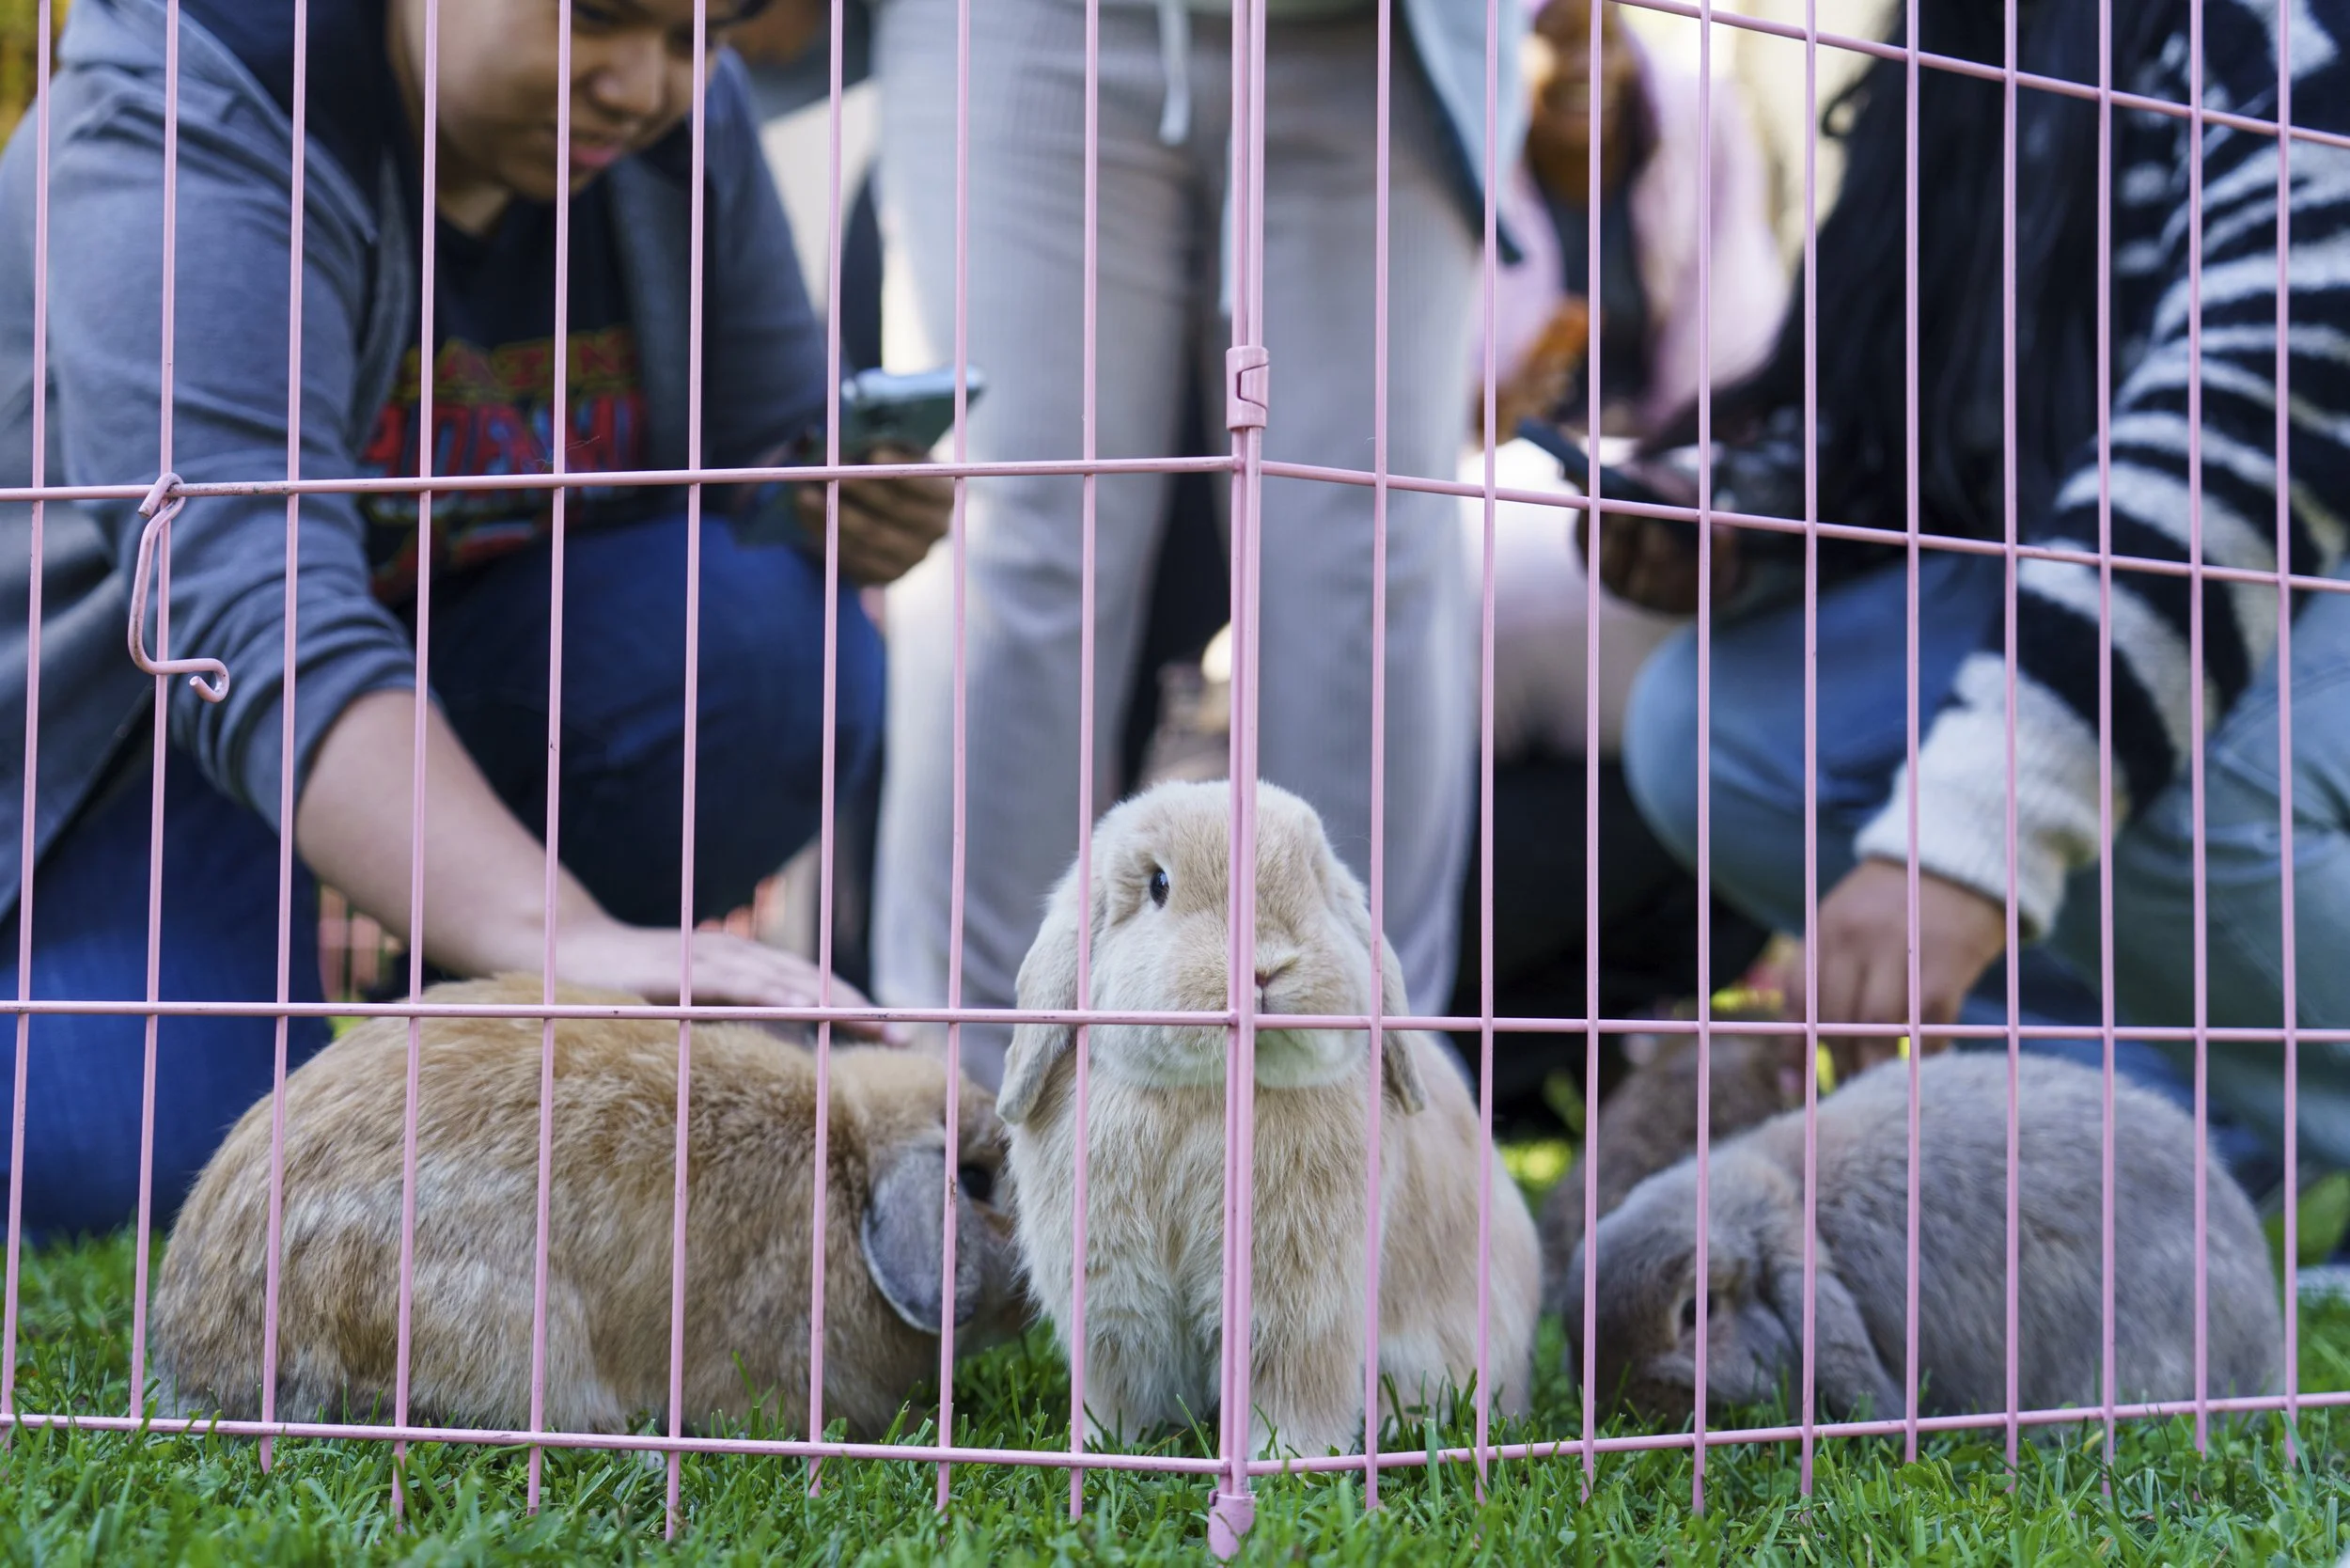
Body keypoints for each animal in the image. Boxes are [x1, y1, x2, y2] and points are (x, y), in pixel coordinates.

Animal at [995, 778, 1542, 1461]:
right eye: (1158, 885)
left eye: (1313, 880)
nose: (1263, 967)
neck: (1214, 1096)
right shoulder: (1114, 1310)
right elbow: (1124, 1391)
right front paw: (1109, 1450)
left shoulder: (1300, 1315)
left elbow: (1293, 1393)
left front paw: (1292, 1462)